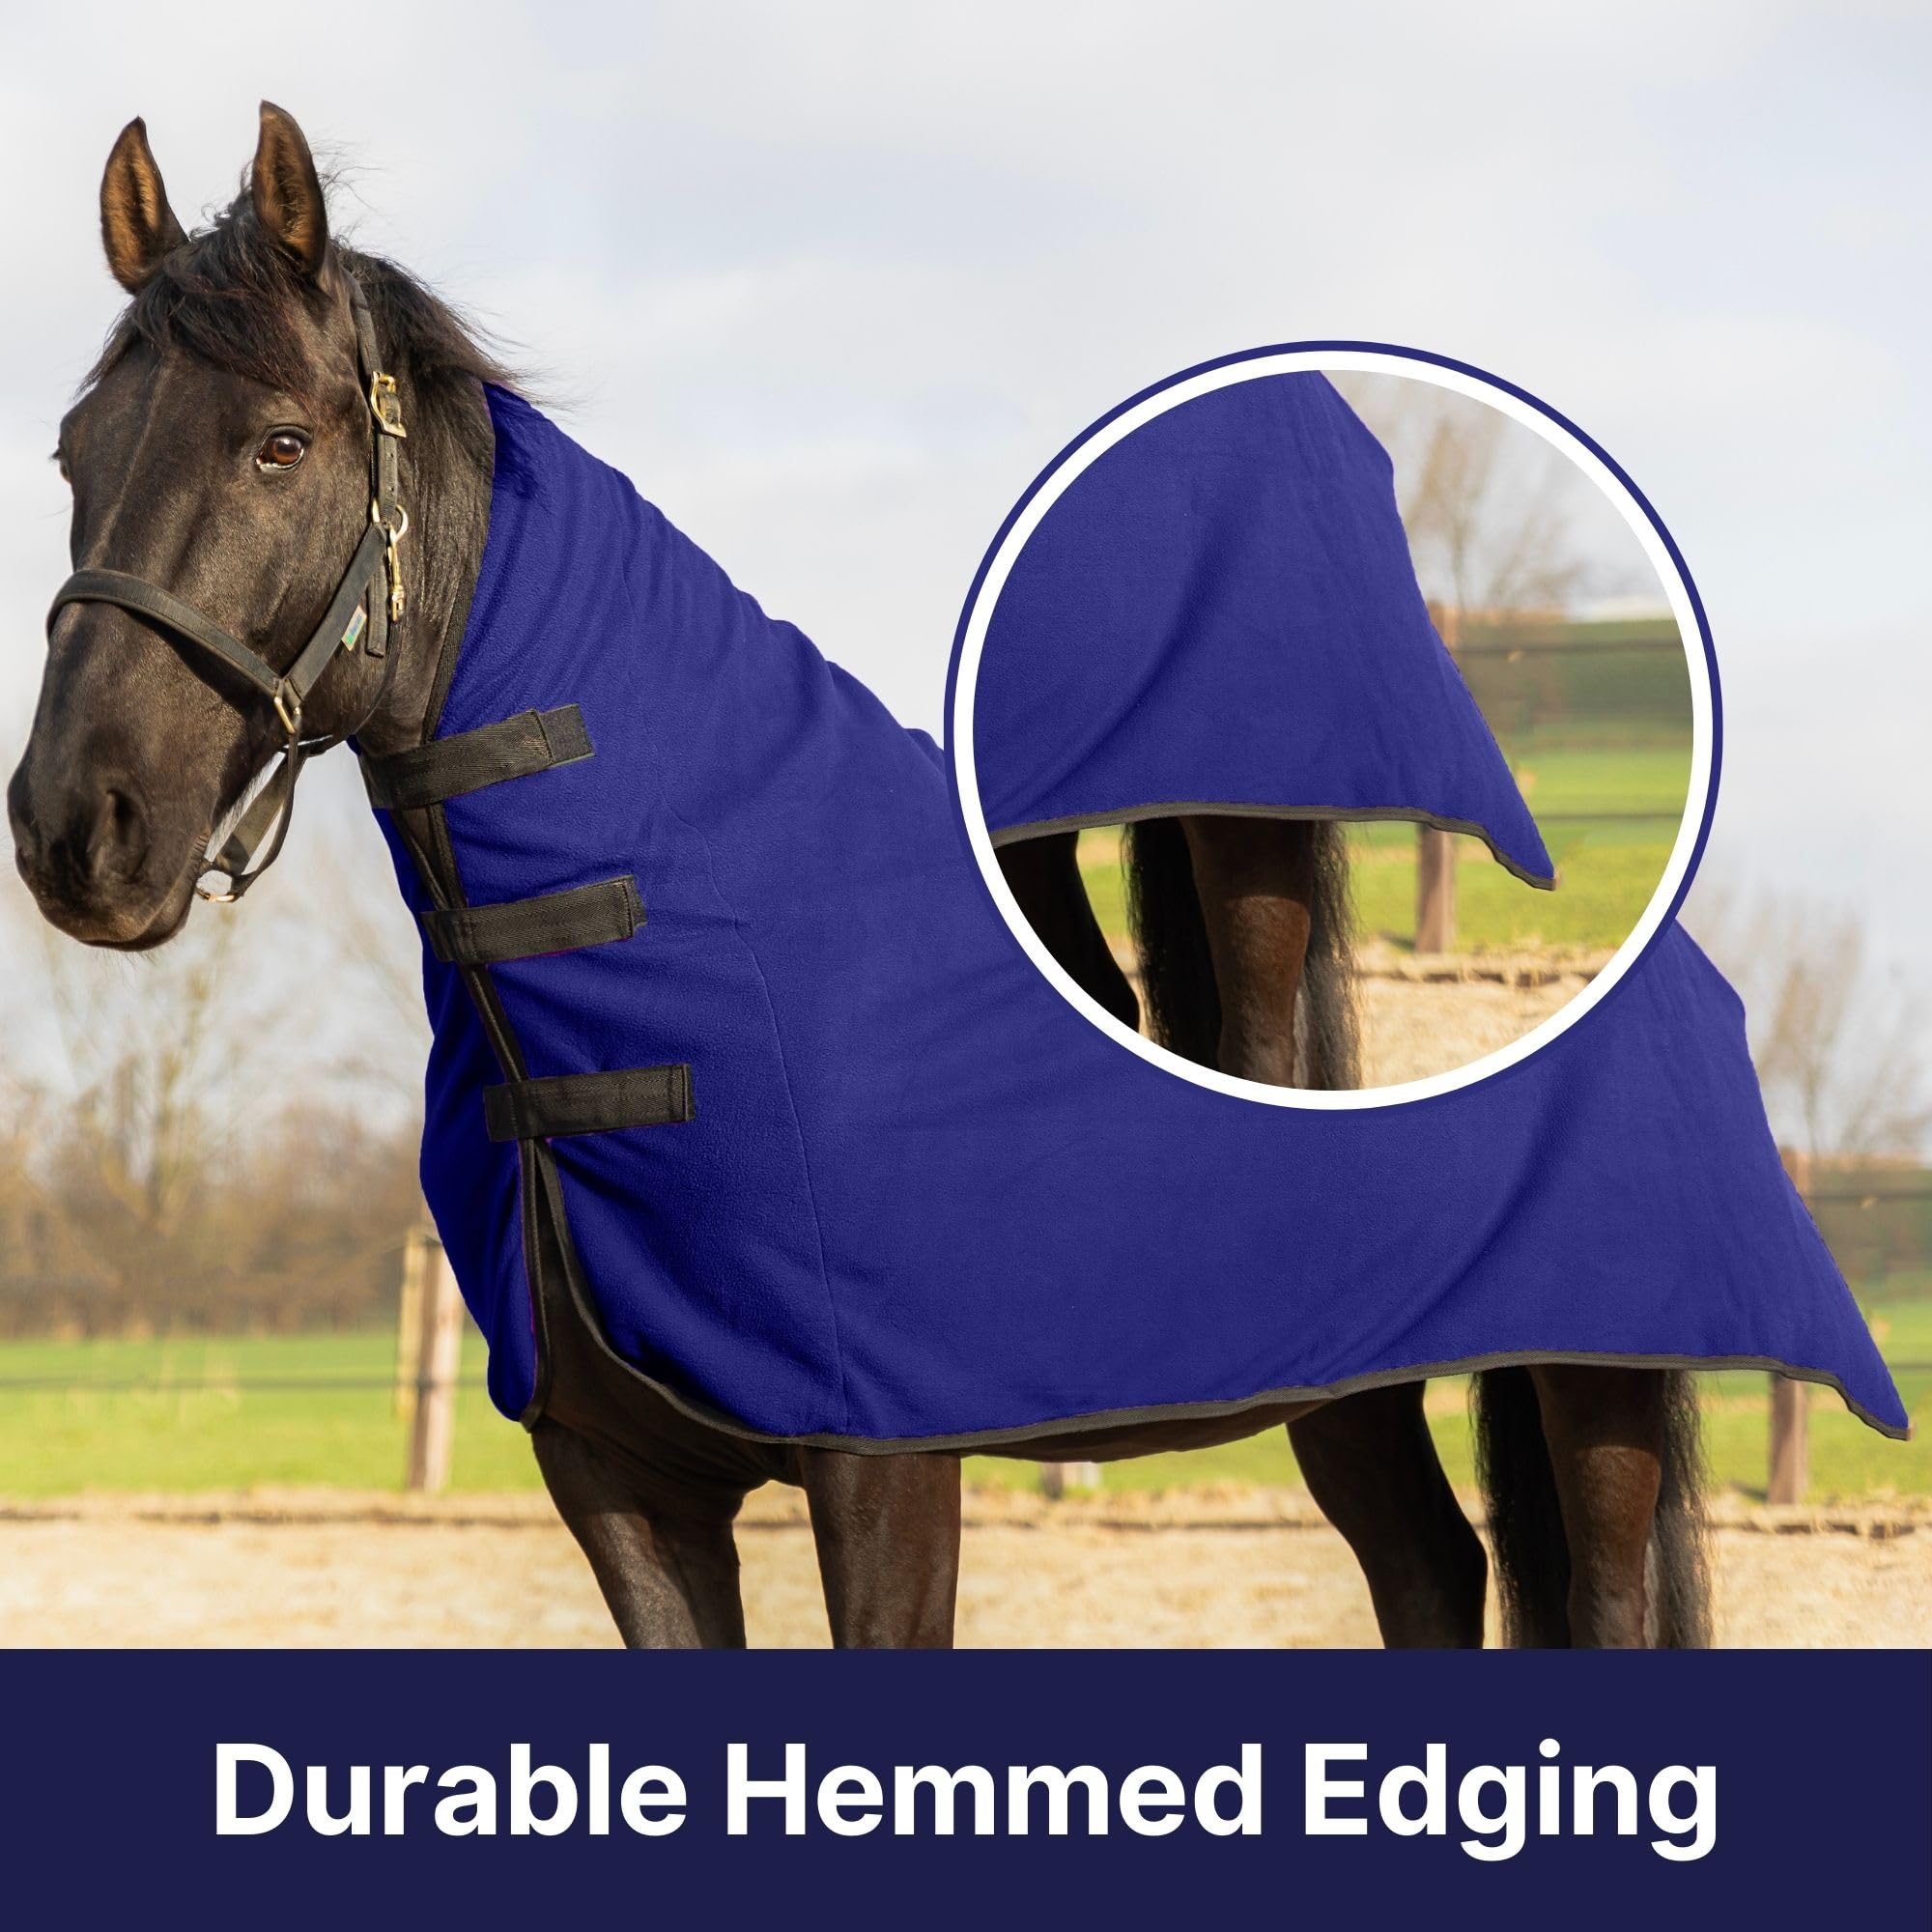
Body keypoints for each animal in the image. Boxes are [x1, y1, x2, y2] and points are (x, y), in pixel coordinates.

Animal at [9, 104, 1706, 1648]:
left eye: (282, 444)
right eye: (75, 453)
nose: (75, 830)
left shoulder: (884, 1466)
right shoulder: (618, 1486)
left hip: (1597, 1391)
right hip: (1353, 1386)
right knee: (1429, 1570)